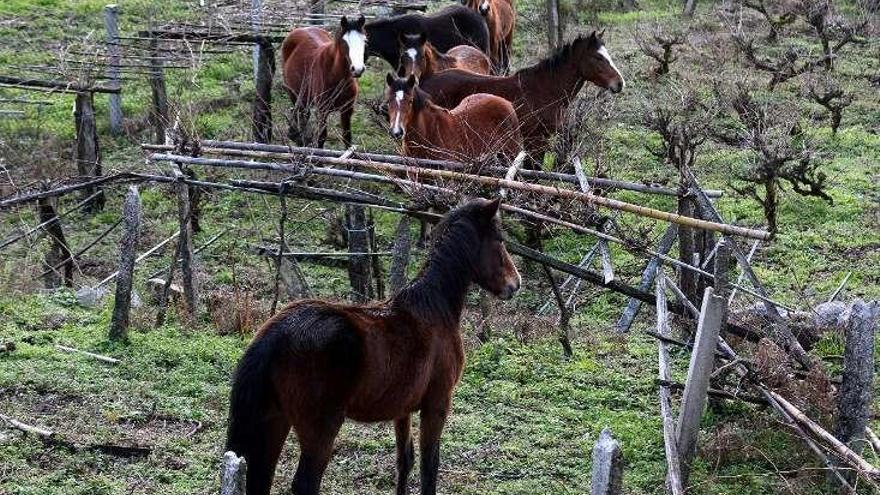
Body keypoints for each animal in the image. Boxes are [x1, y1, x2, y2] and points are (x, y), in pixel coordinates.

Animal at [223, 198, 524, 495]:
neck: (434, 307)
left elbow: (405, 461)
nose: (515, 283)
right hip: (319, 430)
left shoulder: (403, 410)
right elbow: (429, 467)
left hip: (275, 419)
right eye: (499, 240)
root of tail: (276, 334)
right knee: (305, 484)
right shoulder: (436, 405)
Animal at [280, 15, 366, 147]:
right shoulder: (322, 110)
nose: (357, 69)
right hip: (294, 93)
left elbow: (347, 138)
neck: (335, 74)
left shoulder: (347, 110)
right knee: (299, 113)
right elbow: (321, 137)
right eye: (344, 42)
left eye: (364, 41)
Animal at [384, 72, 524, 162]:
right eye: (389, 101)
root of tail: (507, 103)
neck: (430, 134)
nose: (396, 132)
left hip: (511, 154)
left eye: (410, 101)